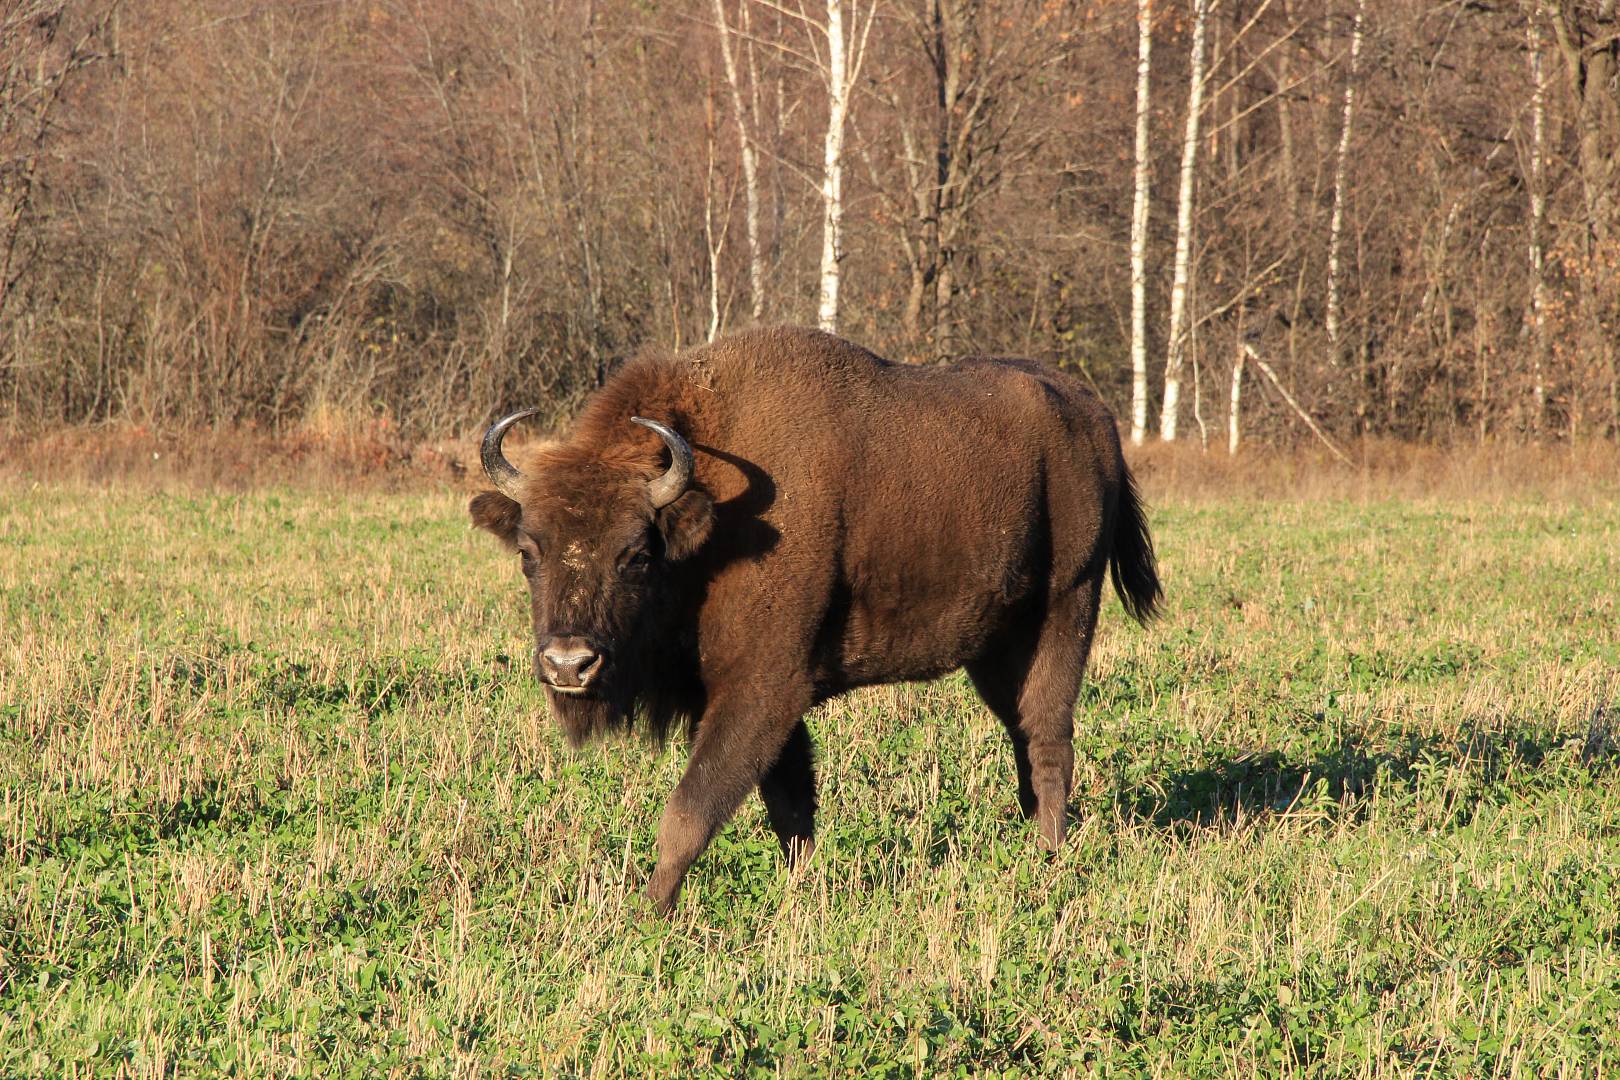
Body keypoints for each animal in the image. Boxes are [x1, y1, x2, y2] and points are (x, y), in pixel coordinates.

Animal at [469, 323, 1166, 913]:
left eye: (637, 554)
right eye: (529, 552)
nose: (569, 664)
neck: (715, 508)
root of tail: (1096, 420)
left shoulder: (763, 688)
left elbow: (692, 809)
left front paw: (646, 916)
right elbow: (790, 806)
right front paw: (800, 893)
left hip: (1065, 613)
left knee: (1049, 738)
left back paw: (1049, 858)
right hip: (994, 649)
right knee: (1023, 735)